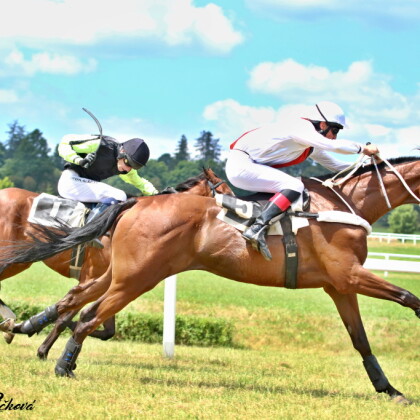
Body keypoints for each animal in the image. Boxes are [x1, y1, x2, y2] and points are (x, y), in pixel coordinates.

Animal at [0, 167, 233, 358]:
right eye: (228, 194)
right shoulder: (94, 276)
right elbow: (69, 315)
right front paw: (43, 346)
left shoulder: (111, 280)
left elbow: (104, 328)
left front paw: (44, 341)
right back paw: (9, 321)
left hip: (18, 262)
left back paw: (9, 322)